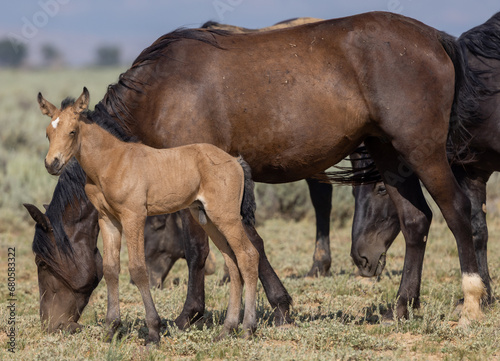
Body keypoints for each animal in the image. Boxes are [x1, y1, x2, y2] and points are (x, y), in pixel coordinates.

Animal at [37, 88, 260, 344]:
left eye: (72, 131)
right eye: (48, 133)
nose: (52, 164)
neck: (112, 162)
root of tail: (235, 161)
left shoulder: (133, 216)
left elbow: (138, 269)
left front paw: (153, 331)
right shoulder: (108, 219)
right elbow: (111, 269)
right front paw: (111, 328)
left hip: (227, 217)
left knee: (247, 256)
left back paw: (247, 328)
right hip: (208, 220)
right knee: (232, 262)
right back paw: (227, 329)